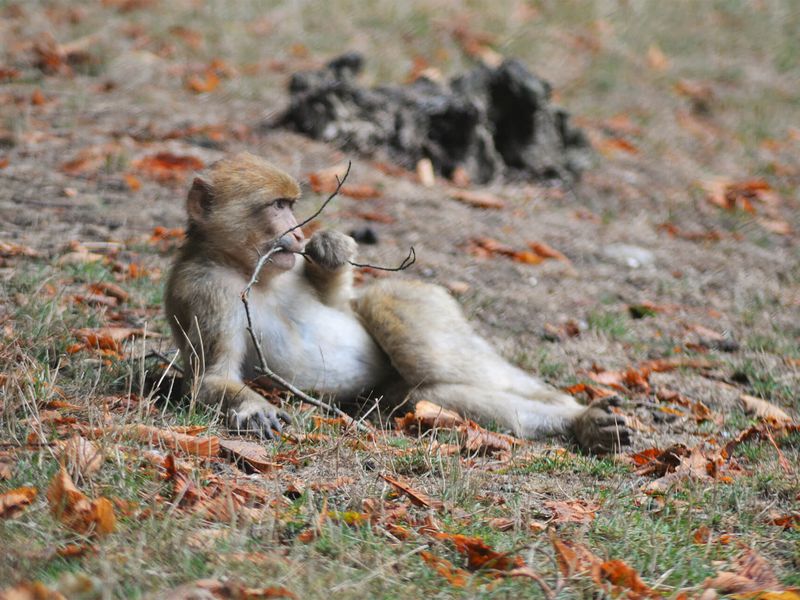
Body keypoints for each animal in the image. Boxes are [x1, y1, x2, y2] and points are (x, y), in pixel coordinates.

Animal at [166, 152, 636, 452]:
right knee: (423, 392)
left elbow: (341, 302)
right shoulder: (206, 289)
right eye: (276, 206)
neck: (246, 268)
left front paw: (332, 249)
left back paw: (576, 413)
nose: (298, 233)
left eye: (291, 205)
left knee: (398, 319)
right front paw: (251, 408)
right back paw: (583, 422)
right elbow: (210, 377)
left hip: (428, 301)